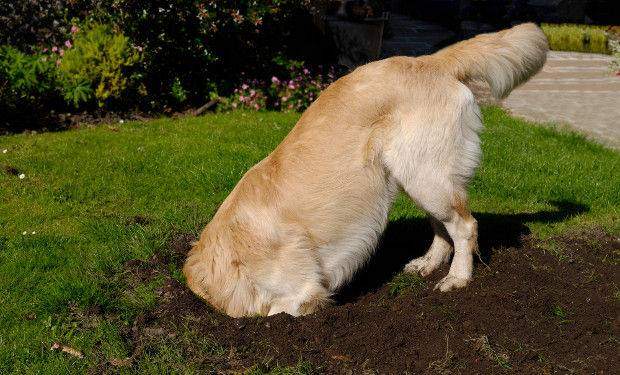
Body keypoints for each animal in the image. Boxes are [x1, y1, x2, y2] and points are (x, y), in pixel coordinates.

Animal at [183, 23, 548, 318]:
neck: (232, 250)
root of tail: (428, 61)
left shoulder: (304, 289)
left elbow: (282, 309)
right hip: (417, 176)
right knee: (443, 228)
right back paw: (429, 263)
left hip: (426, 176)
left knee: (465, 226)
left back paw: (457, 277)